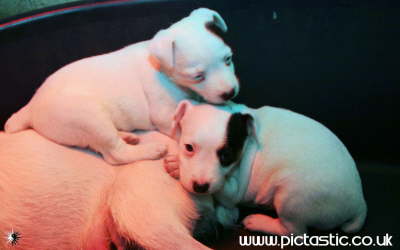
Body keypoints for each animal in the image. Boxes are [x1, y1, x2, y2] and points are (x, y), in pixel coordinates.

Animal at [4, 7, 239, 165]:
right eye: (197, 76)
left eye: (228, 59)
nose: (230, 93)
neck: (161, 66)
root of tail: (32, 106)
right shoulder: (166, 115)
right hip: (87, 117)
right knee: (115, 153)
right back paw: (150, 150)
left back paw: (127, 136)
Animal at [164, 100, 368, 235]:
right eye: (189, 148)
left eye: (226, 156)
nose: (200, 187)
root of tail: (359, 203)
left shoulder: (233, 191)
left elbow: (223, 191)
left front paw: (176, 166)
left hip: (292, 196)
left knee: (294, 231)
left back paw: (259, 222)